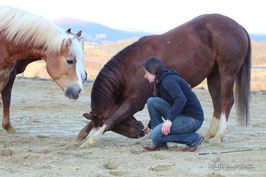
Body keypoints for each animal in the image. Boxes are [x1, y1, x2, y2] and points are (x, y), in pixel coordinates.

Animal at [74, 13, 249, 147]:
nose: (140, 128)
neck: (133, 66)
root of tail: (239, 26)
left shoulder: (136, 102)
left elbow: (112, 118)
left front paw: (89, 141)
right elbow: (96, 120)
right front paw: (80, 137)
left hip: (227, 71)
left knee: (227, 101)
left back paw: (218, 136)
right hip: (213, 75)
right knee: (217, 102)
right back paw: (209, 135)